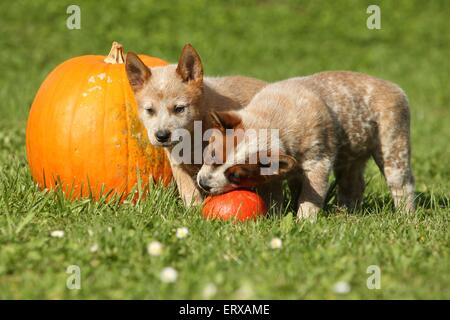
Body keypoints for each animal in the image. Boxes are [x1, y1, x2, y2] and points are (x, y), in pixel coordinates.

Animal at [125, 44, 266, 205]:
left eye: (179, 109)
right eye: (149, 110)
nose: (161, 136)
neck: (193, 136)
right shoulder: (178, 165)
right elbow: (188, 191)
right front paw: (195, 209)